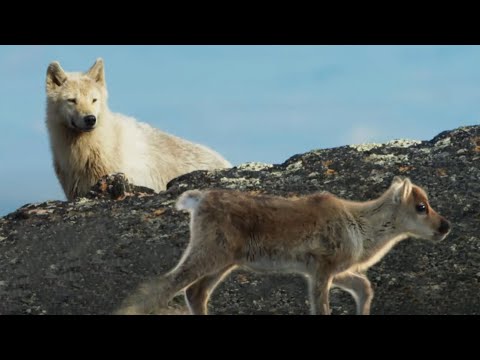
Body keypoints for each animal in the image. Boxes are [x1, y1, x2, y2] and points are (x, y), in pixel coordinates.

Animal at [120, 177, 450, 316]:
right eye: (421, 207)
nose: (445, 226)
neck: (360, 226)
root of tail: (198, 200)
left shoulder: (333, 271)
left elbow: (364, 287)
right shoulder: (322, 268)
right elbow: (322, 307)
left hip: (224, 262)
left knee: (194, 293)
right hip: (208, 254)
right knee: (164, 285)